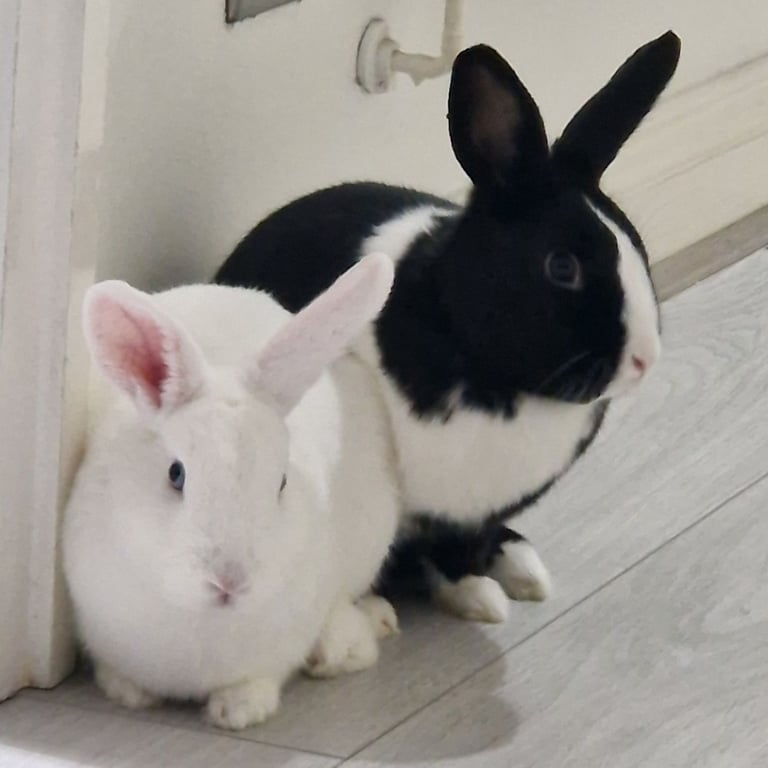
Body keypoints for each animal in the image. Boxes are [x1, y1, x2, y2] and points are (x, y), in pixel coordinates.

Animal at [62, 253, 401, 730]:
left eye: (281, 481)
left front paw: (238, 711)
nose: (229, 582)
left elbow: (257, 681)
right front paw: (130, 693)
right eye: (176, 474)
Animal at [214, 33, 681, 623]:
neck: (491, 375)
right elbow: (427, 555)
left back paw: (523, 566)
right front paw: (477, 599)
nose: (645, 357)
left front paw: (486, 588)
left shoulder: (474, 513)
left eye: (635, 244)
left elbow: (467, 543)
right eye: (562, 267)